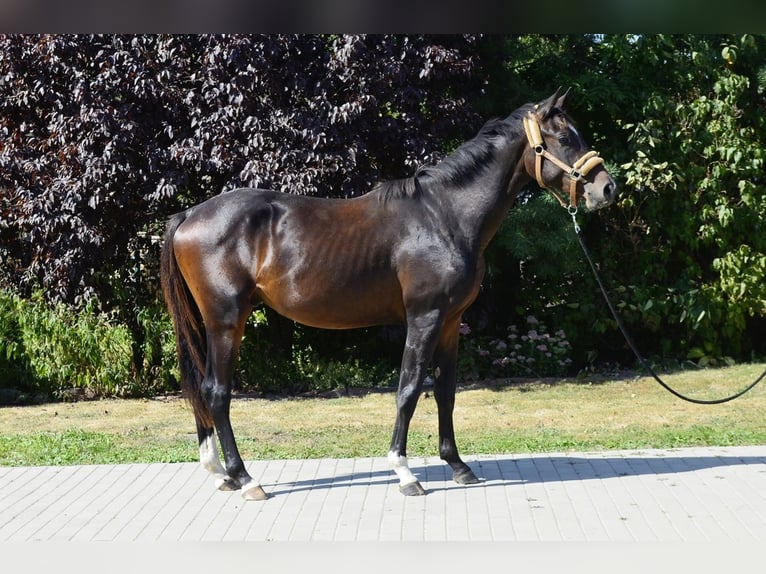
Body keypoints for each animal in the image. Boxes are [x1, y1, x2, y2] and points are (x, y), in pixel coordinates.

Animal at [160, 89, 616, 500]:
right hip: (226, 320)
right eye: (565, 137)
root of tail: (188, 214)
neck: (445, 216)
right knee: (217, 392)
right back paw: (246, 478)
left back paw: (221, 474)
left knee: (203, 389)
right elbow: (409, 390)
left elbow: (446, 392)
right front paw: (405, 472)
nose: (607, 189)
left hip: (211, 323)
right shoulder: (424, 318)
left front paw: (458, 466)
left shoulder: (450, 323)